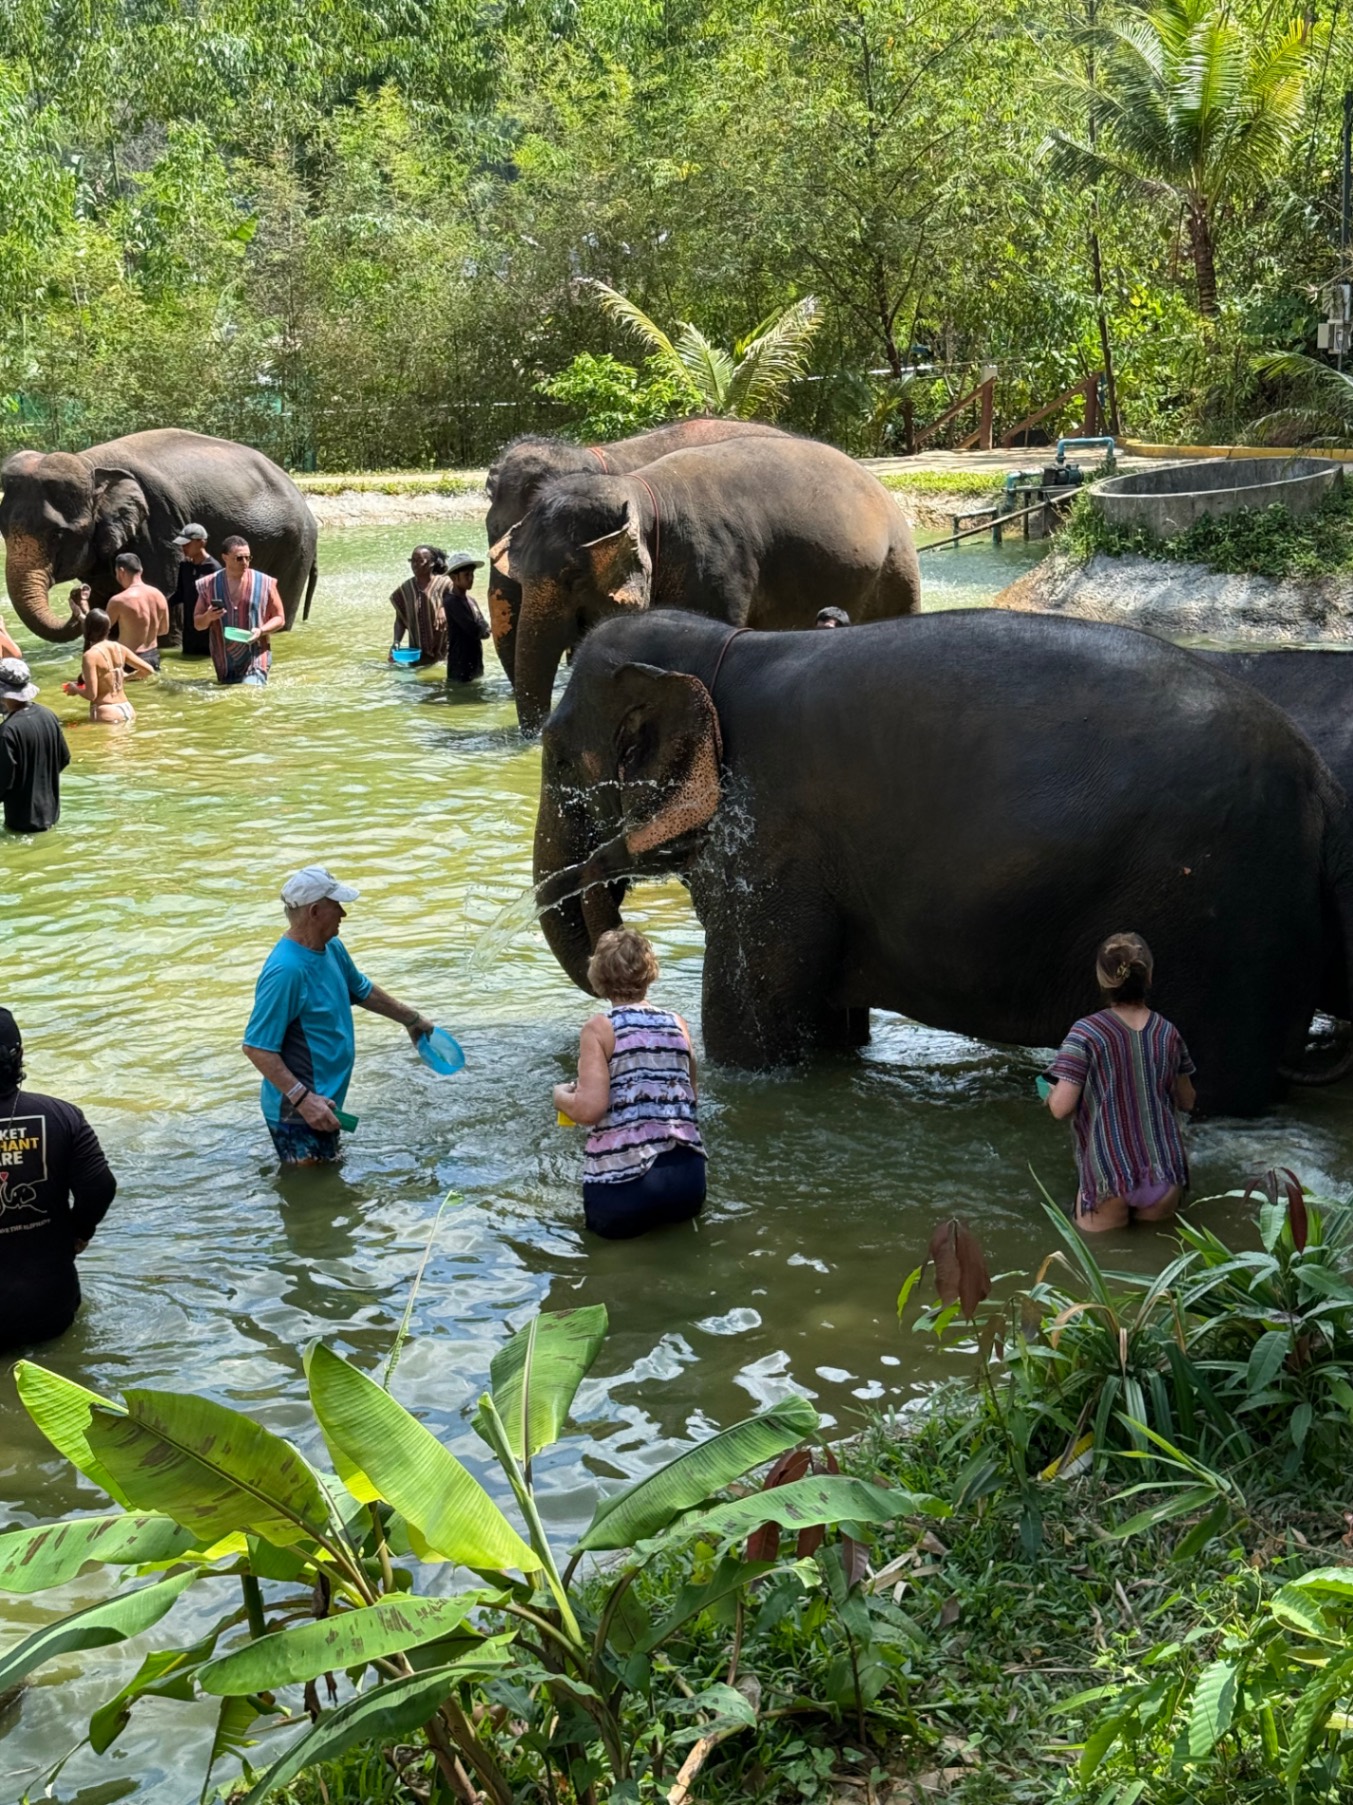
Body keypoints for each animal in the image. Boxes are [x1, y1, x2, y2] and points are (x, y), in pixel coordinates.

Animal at [0, 429, 318, 642]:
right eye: (3, 531)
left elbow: (165, 599)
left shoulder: (160, 526)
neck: (90, 463)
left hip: (295, 547)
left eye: (58, 534)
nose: (79, 594)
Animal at [533, 609, 1353, 1116]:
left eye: (559, 757)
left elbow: (749, 1030)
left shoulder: (770, 843)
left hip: (1218, 918)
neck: (727, 646)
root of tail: (1322, 787)